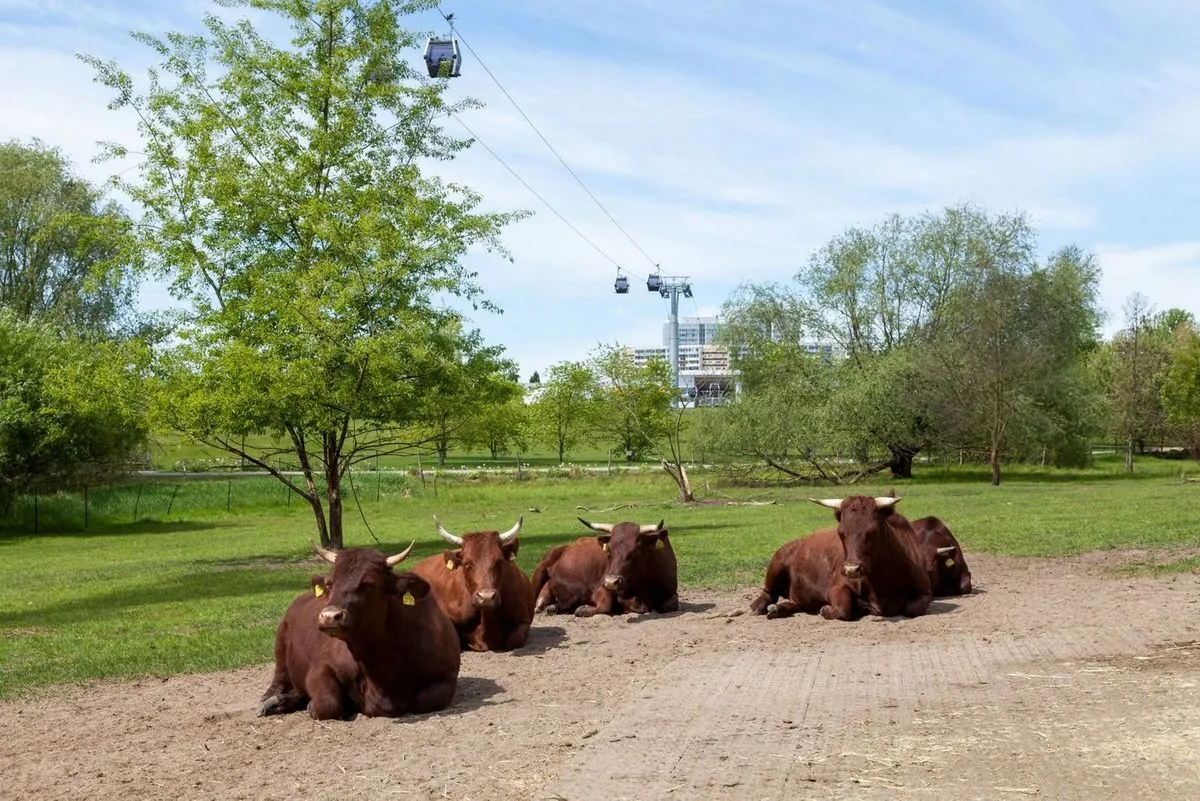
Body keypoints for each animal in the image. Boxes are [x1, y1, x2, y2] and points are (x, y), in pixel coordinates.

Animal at [260, 537, 460, 719]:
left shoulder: (446, 676)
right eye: (330, 583)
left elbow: (424, 701)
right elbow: (327, 704)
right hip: (280, 642)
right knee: (280, 678)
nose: (329, 616)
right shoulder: (320, 669)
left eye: (369, 584)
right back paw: (273, 700)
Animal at [532, 520, 681, 618]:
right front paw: (583, 609)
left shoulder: (670, 591)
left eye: (635, 551)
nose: (611, 581)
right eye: (609, 551)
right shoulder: (601, 588)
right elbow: (605, 605)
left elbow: (671, 604)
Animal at [748, 496, 936, 623]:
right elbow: (842, 608)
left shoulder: (925, 592)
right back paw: (760, 607)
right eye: (840, 533)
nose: (852, 569)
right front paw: (826, 609)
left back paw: (778, 609)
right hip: (777, 562)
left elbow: (912, 608)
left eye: (873, 532)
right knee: (768, 593)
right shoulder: (836, 586)